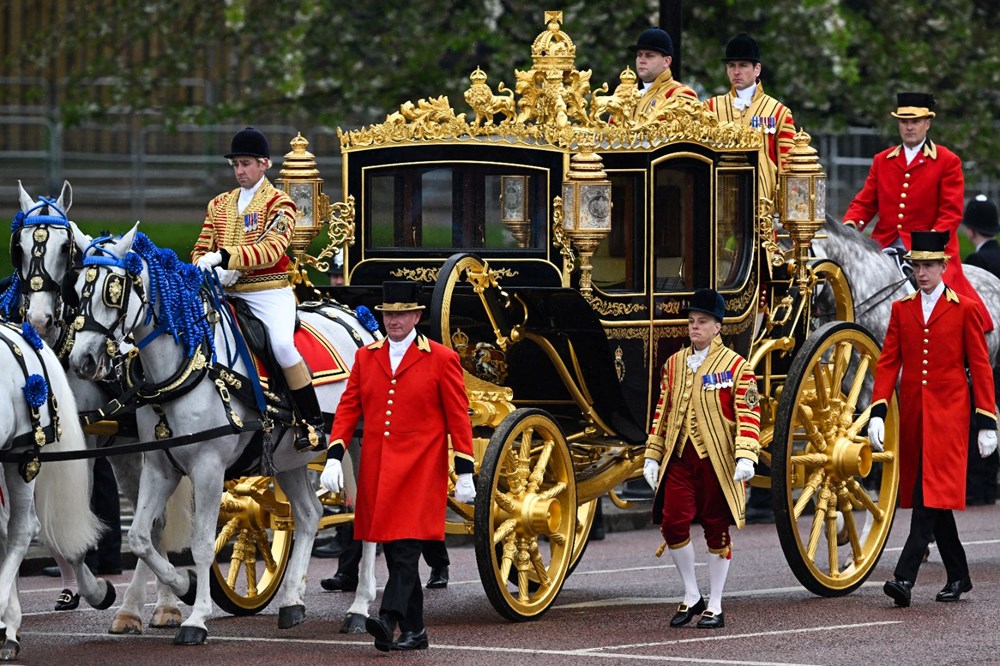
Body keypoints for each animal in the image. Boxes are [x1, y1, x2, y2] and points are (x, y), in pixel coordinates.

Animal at [7, 182, 191, 632]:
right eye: (18, 247)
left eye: (64, 248)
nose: (39, 320)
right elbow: (49, 526)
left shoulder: (84, 446)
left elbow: (66, 524)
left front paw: (97, 591)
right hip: (128, 451)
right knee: (149, 519)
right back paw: (138, 608)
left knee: (155, 520)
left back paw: (156, 605)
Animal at [67, 224, 378, 644]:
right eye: (76, 287)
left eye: (112, 289)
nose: (80, 361)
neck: (187, 365)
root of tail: (358, 319)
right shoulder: (160, 466)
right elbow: (141, 537)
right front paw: (180, 587)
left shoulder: (208, 468)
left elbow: (201, 544)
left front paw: (196, 616)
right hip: (289, 458)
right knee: (309, 514)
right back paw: (292, 602)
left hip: (359, 445)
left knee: (365, 519)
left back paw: (359, 608)